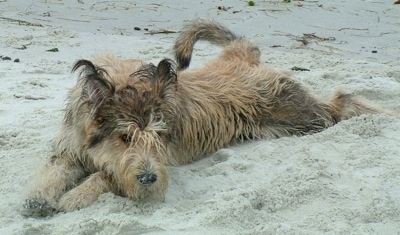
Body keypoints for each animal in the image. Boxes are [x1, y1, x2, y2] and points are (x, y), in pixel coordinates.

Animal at [22, 19, 382, 217]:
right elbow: (53, 169)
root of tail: (244, 56)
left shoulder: (162, 159)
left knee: (340, 102)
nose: (150, 180)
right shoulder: (70, 148)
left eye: (158, 136)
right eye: (124, 137)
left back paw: (381, 113)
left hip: (303, 115)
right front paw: (38, 198)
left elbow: (106, 175)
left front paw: (76, 196)